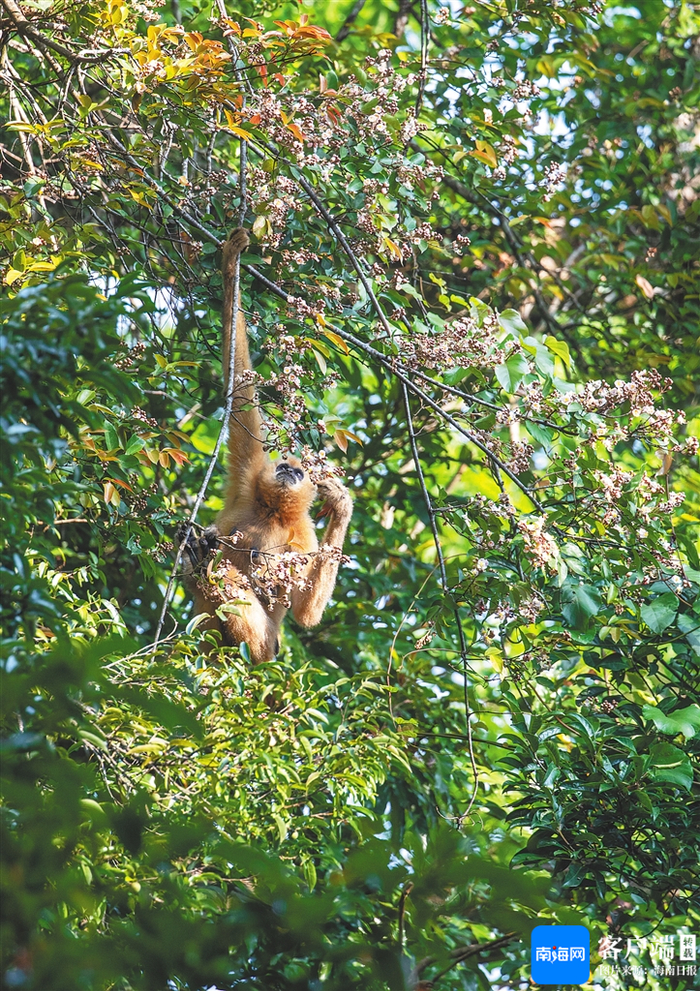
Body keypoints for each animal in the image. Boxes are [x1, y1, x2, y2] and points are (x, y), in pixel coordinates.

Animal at [176, 228, 353, 663]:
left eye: (300, 472)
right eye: (284, 466)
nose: (290, 472)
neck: (272, 511)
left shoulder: (303, 535)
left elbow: (305, 612)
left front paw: (341, 506)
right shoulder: (248, 478)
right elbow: (240, 390)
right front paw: (229, 264)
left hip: (266, 644)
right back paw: (197, 560)